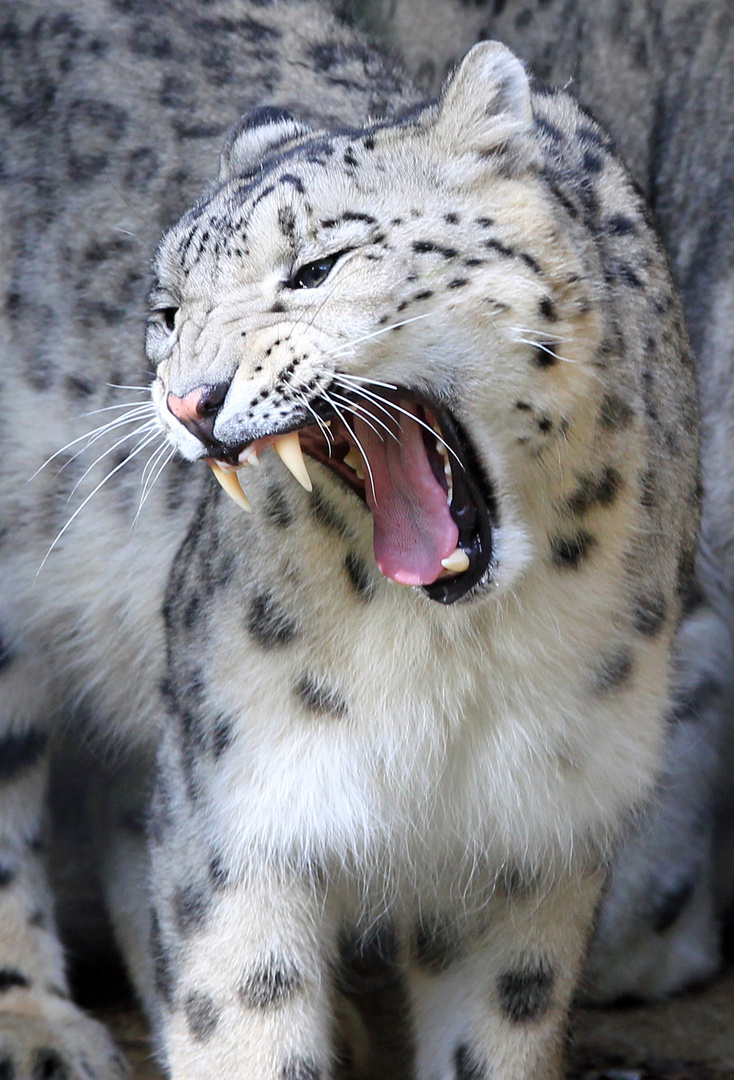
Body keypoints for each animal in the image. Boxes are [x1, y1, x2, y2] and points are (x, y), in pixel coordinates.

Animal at [0, 2, 699, 1080]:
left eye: (317, 267)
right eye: (167, 312)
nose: (188, 400)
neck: (457, 655)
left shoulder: (530, 833)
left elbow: (496, 1035)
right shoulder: (247, 794)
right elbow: (238, 1008)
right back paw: (36, 1024)